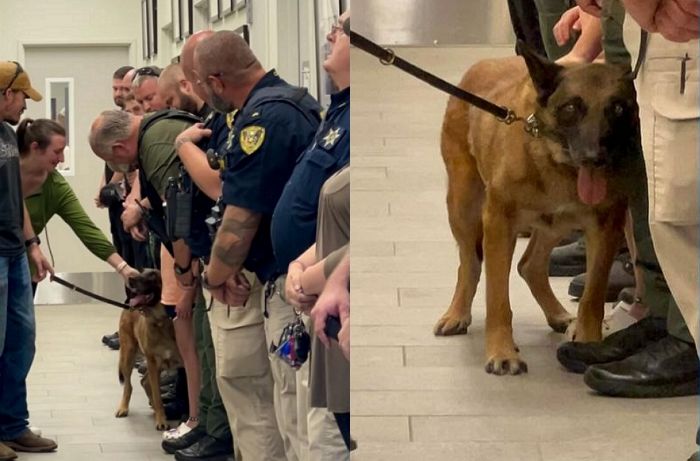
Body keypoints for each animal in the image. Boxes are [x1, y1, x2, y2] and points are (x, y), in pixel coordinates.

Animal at [115, 268, 182, 430]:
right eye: (141, 272)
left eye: (152, 275)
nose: (131, 279)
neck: (161, 321)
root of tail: (127, 304)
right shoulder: (153, 363)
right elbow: (157, 396)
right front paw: (161, 420)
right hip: (128, 355)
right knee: (129, 386)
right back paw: (124, 407)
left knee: (144, 381)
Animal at [434, 43, 644, 374]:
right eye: (571, 108)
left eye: (618, 109)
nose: (594, 158)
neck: (557, 164)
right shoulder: (498, 223)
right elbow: (497, 299)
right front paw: (502, 351)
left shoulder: (606, 227)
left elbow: (592, 297)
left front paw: (588, 344)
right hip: (463, 206)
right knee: (470, 263)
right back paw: (457, 313)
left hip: (555, 224)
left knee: (529, 265)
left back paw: (558, 314)